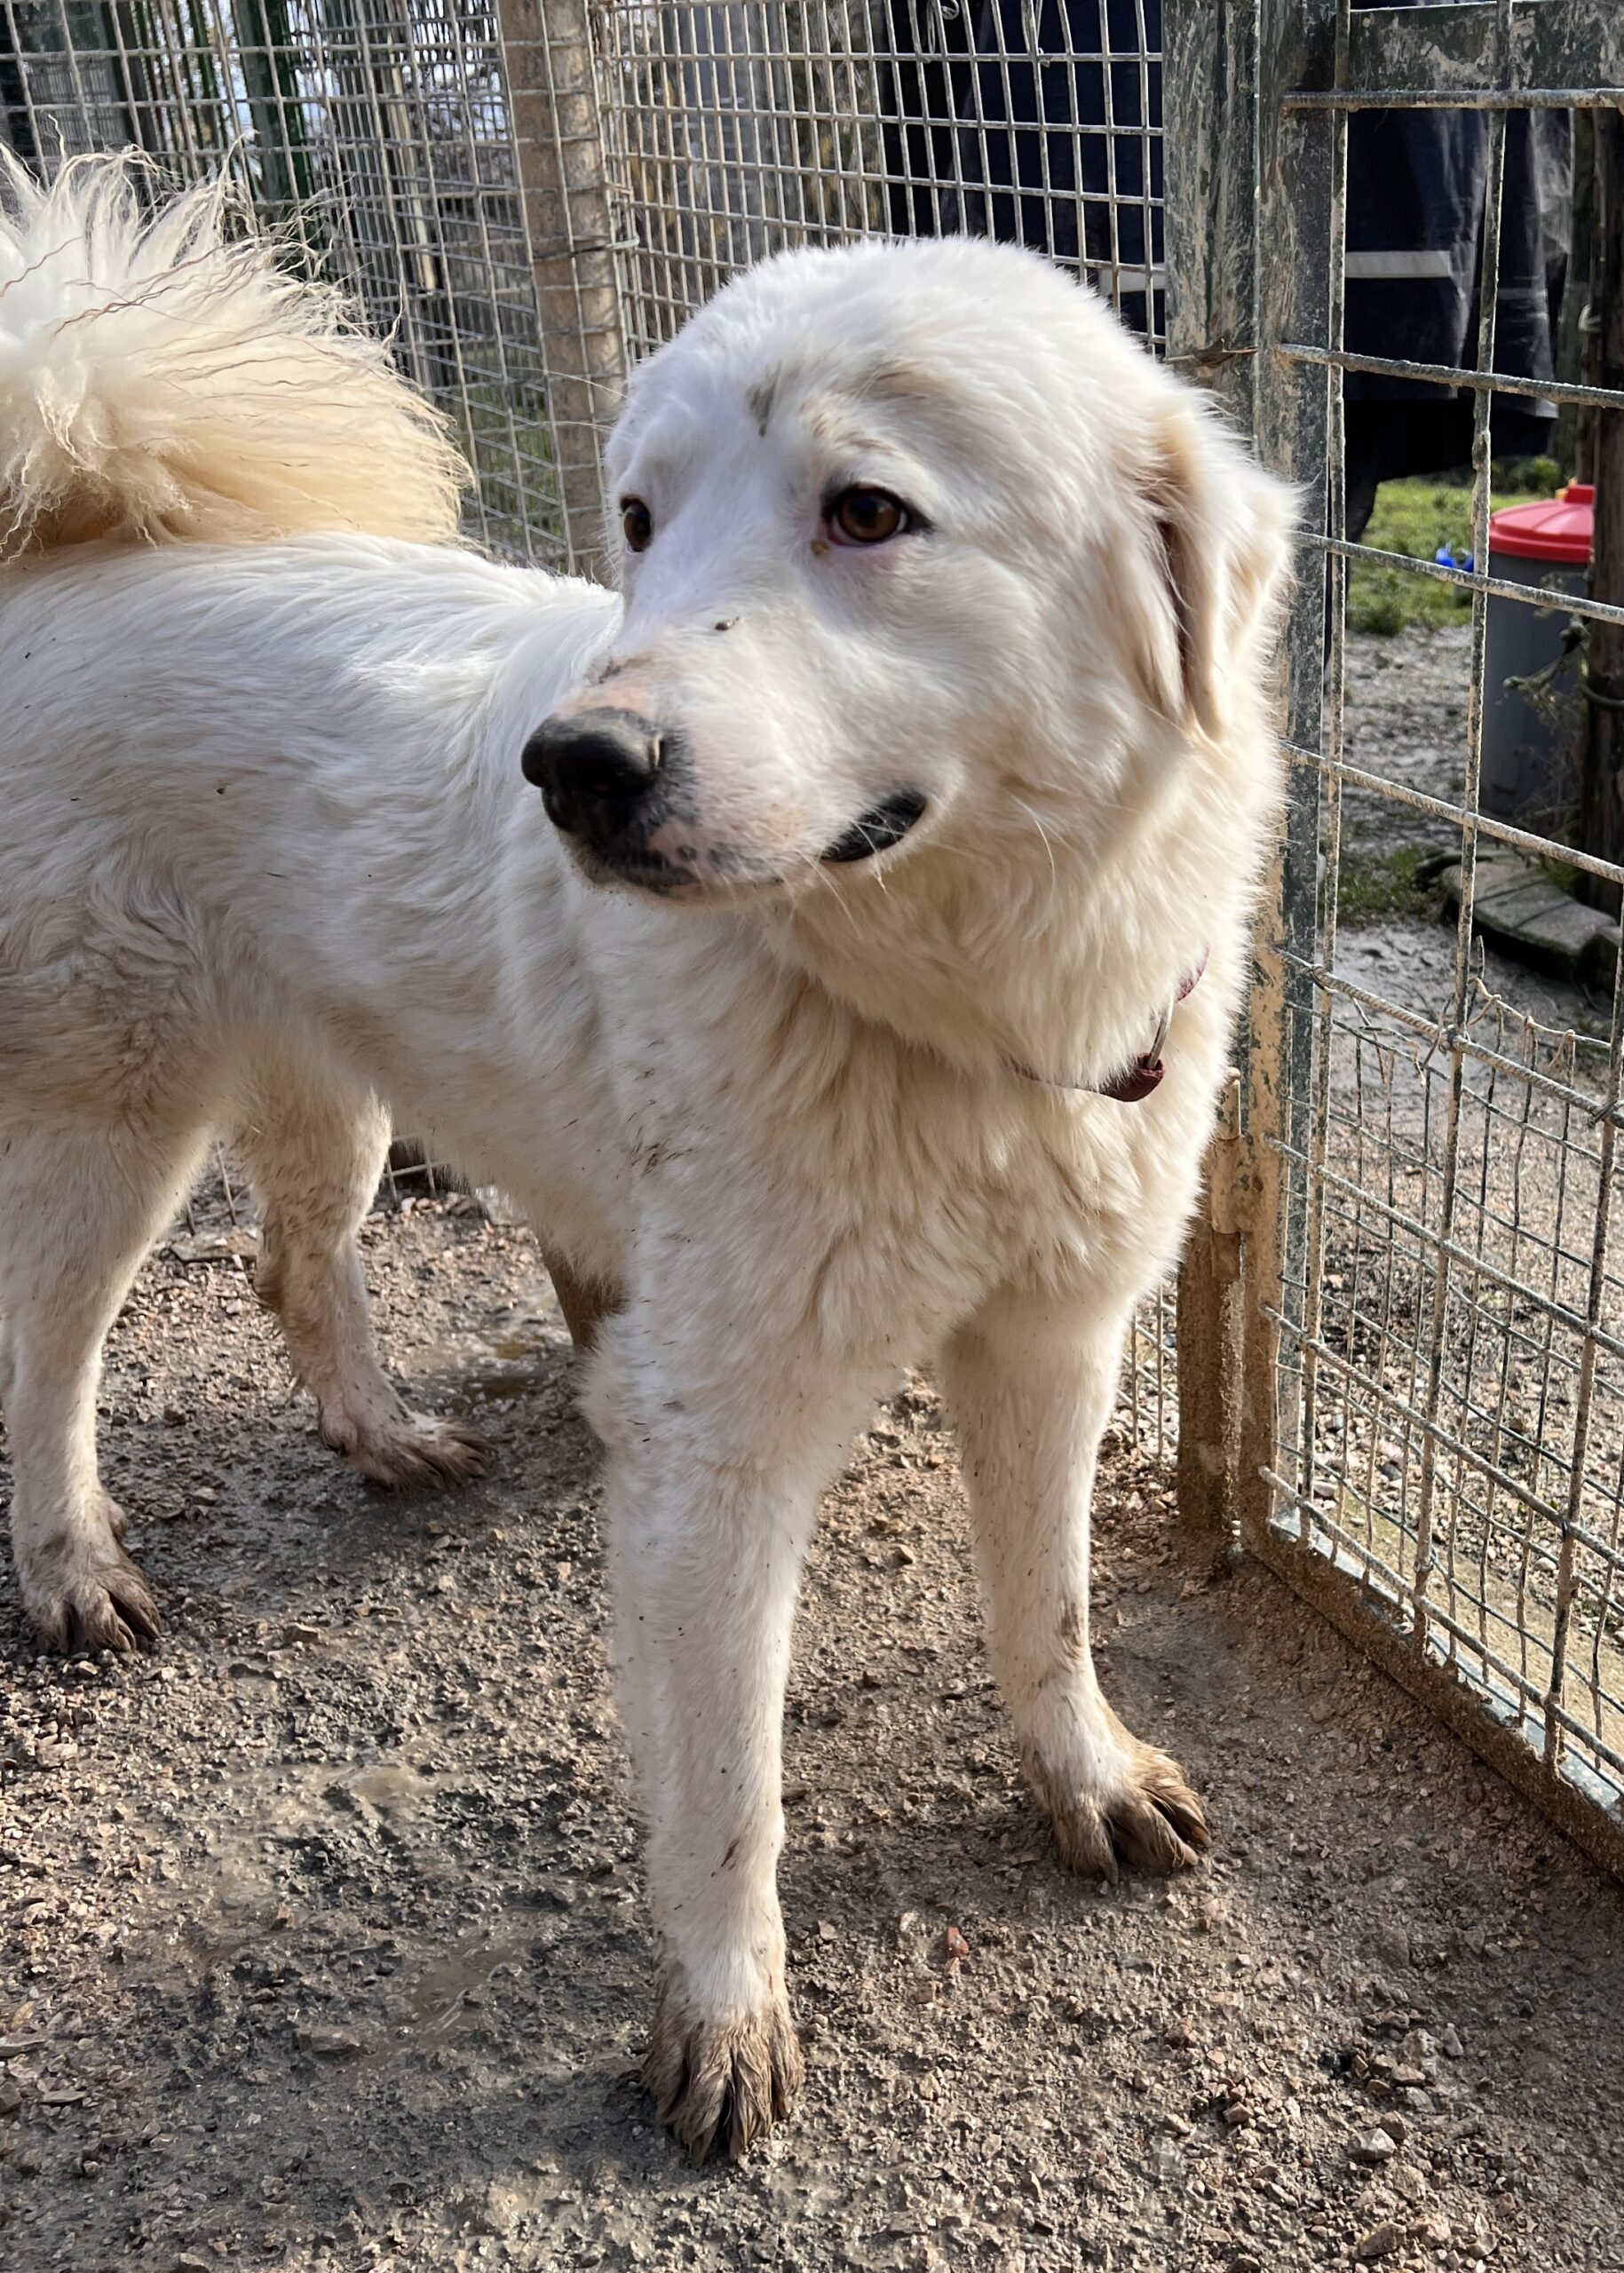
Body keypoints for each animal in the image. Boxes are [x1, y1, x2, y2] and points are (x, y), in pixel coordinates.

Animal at [0, 153, 1292, 2159]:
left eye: (866, 511)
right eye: (638, 519)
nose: (572, 766)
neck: (947, 1018)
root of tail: (69, 552)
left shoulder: (1051, 1338)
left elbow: (1052, 1602)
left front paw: (1079, 1777)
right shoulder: (714, 1442)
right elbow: (724, 1782)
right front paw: (723, 2018)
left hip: (334, 1088)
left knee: (295, 1263)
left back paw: (380, 1434)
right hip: (113, 1117)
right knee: (44, 1350)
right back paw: (68, 1566)